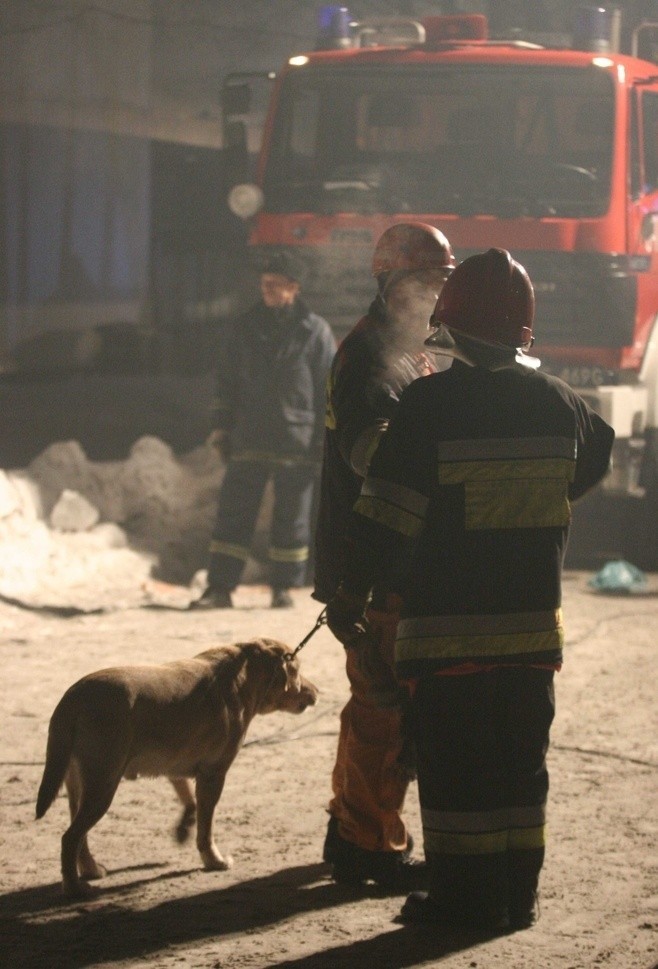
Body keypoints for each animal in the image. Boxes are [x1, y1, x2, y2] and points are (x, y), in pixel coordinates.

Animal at [36, 640, 318, 896]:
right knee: (70, 838)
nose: (316, 691)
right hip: (102, 786)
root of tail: (72, 698)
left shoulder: (175, 769)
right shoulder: (213, 774)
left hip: (81, 788)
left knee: (78, 836)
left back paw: (90, 870)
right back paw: (74, 887)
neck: (243, 673)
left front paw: (183, 829)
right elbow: (206, 827)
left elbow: (191, 804)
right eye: (297, 670)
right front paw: (213, 860)